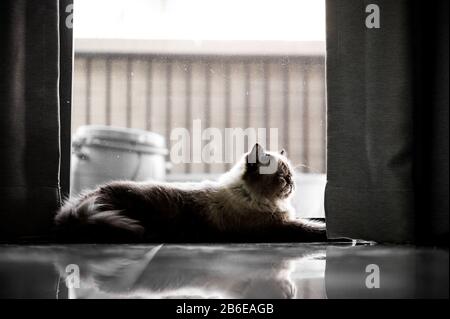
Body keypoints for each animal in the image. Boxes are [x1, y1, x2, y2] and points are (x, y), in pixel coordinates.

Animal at [54, 144, 326, 244]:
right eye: (282, 177)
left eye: (291, 176)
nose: (292, 183)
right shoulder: (279, 226)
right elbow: (309, 226)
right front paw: (326, 231)